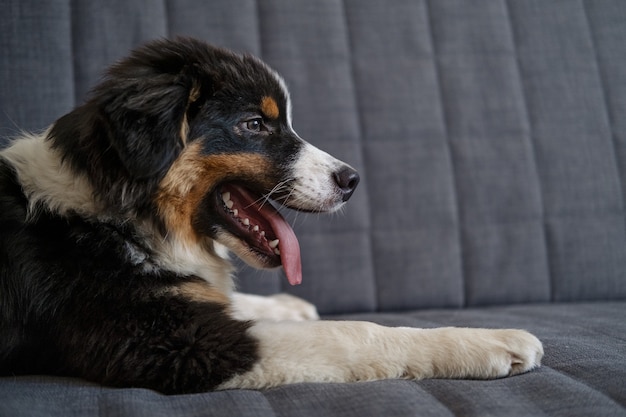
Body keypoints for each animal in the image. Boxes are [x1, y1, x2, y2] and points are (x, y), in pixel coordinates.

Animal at [0, 37, 540, 392]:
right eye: (255, 124)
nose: (352, 180)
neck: (117, 214)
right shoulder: (170, 339)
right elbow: (353, 333)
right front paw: (494, 343)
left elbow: (231, 297)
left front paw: (286, 305)